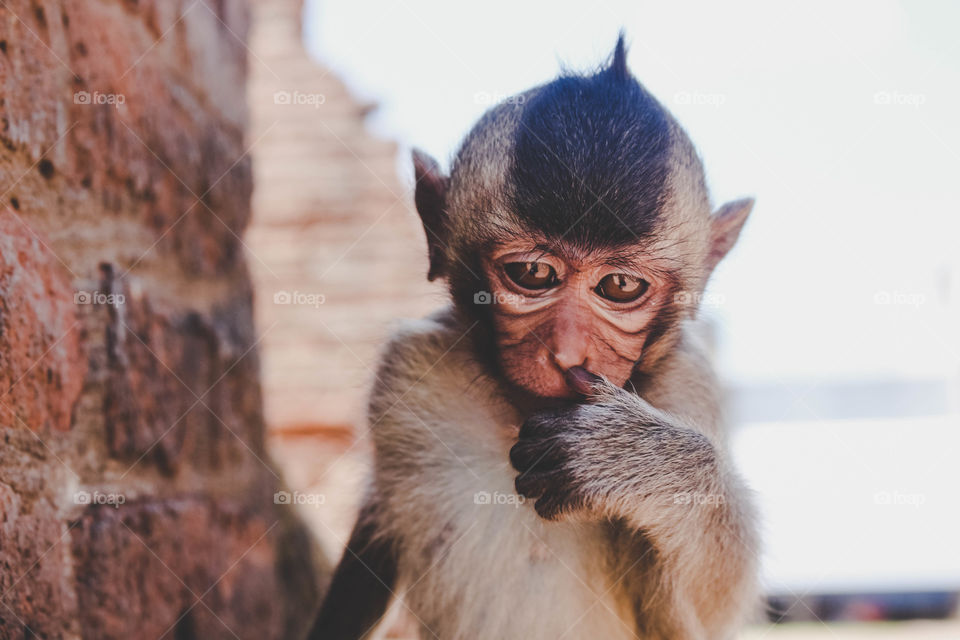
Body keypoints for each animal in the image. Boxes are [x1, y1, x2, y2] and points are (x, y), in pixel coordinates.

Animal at [308, 35, 759, 640]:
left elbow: (698, 618)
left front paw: (635, 461)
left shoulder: (689, 383)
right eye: (533, 274)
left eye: (620, 285)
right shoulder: (409, 368)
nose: (566, 353)